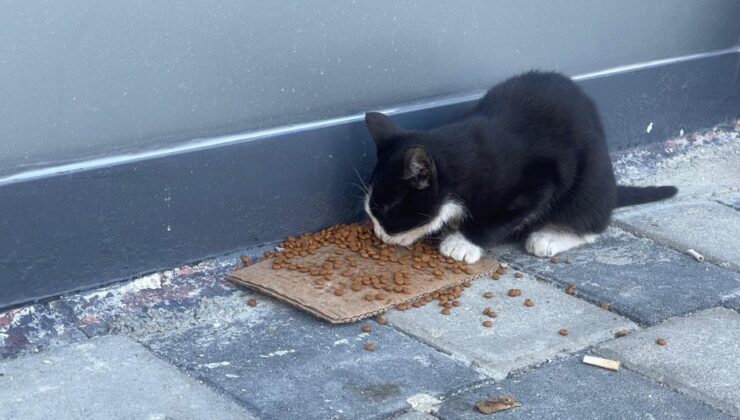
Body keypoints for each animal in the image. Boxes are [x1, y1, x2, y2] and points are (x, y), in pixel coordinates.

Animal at [362, 71, 676, 262]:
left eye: (388, 210)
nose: (378, 235)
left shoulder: (539, 181)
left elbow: (500, 219)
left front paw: (462, 242)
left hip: (592, 174)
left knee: (592, 215)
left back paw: (551, 236)